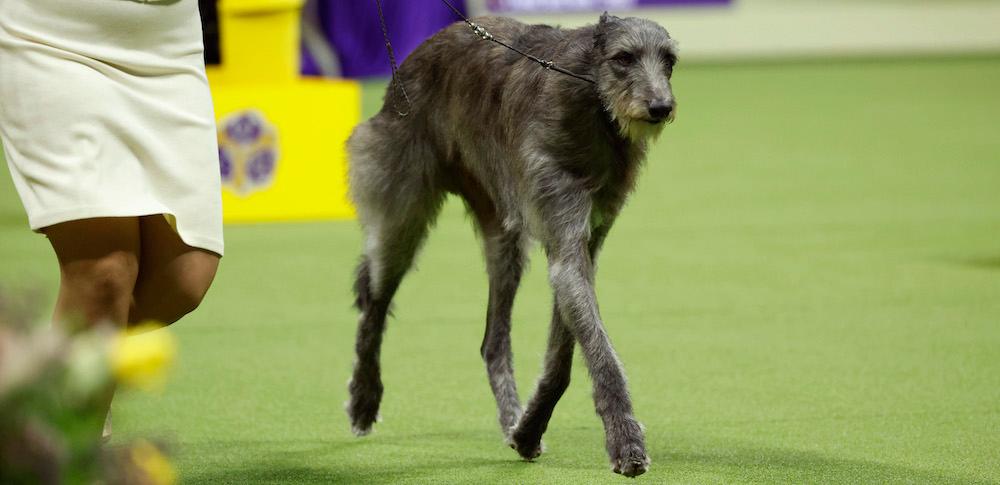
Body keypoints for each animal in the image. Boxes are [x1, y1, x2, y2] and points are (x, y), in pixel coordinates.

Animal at [346, 13, 680, 478]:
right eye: (623, 58)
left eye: (669, 61)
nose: (661, 108)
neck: (594, 104)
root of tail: (424, 47)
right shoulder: (563, 226)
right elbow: (600, 353)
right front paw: (626, 439)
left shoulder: (581, 244)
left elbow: (562, 358)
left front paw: (529, 429)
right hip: (401, 209)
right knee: (374, 304)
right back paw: (363, 398)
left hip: (503, 233)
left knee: (493, 341)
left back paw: (512, 420)